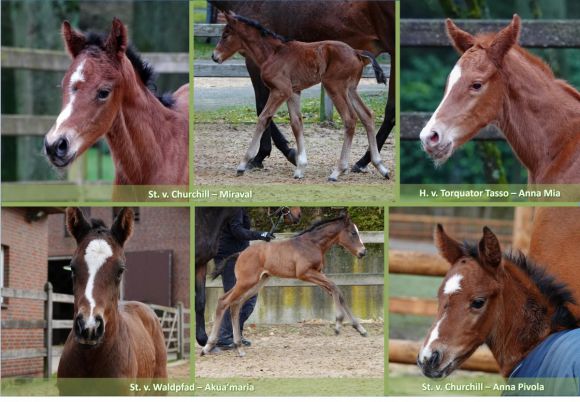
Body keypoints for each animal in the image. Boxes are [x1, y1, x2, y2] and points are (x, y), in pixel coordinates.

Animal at [202, 215, 370, 356]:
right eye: (353, 233)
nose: (363, 252)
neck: (312, 244)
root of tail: (240, 253)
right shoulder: (305, 273)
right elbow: (335, 287)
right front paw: (338, 324)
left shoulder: (317, 274)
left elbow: (338, 292)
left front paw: (360, 329)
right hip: (246, 282)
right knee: (224, 301)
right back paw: (208, 347)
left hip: (256, 283)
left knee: (235, 304)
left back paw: (238, 347)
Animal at [213, 11, 390, 181]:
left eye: (226, 35)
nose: (214, 56)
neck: (273, 54)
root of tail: (356, 52)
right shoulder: (293, 92)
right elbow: (296, 123)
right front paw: (300, 167)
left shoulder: (280, 90)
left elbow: (263, 118)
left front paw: (243, 164)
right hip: (350, 89)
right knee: (367, 116)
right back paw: (380, 167)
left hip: (334, 87)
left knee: (350, 119)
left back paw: (338, 171)